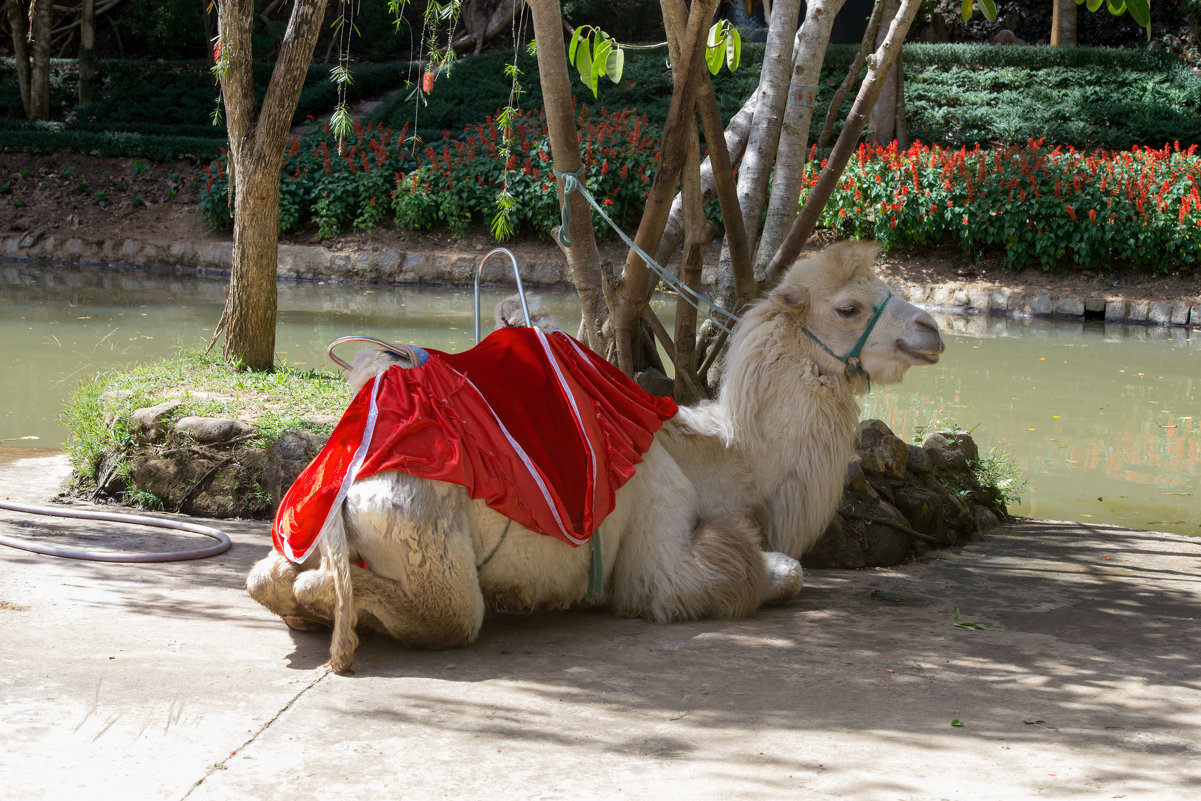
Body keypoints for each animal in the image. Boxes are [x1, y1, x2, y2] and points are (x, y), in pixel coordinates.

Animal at [246, 241, 946, 672]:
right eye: (848, 307)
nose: (932, 330)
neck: (724, 458)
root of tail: (348, 481)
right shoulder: (663, 552)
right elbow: (764, 570)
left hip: (309, 524)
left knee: (266, 578)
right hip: (427, 543)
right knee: (429, 611)